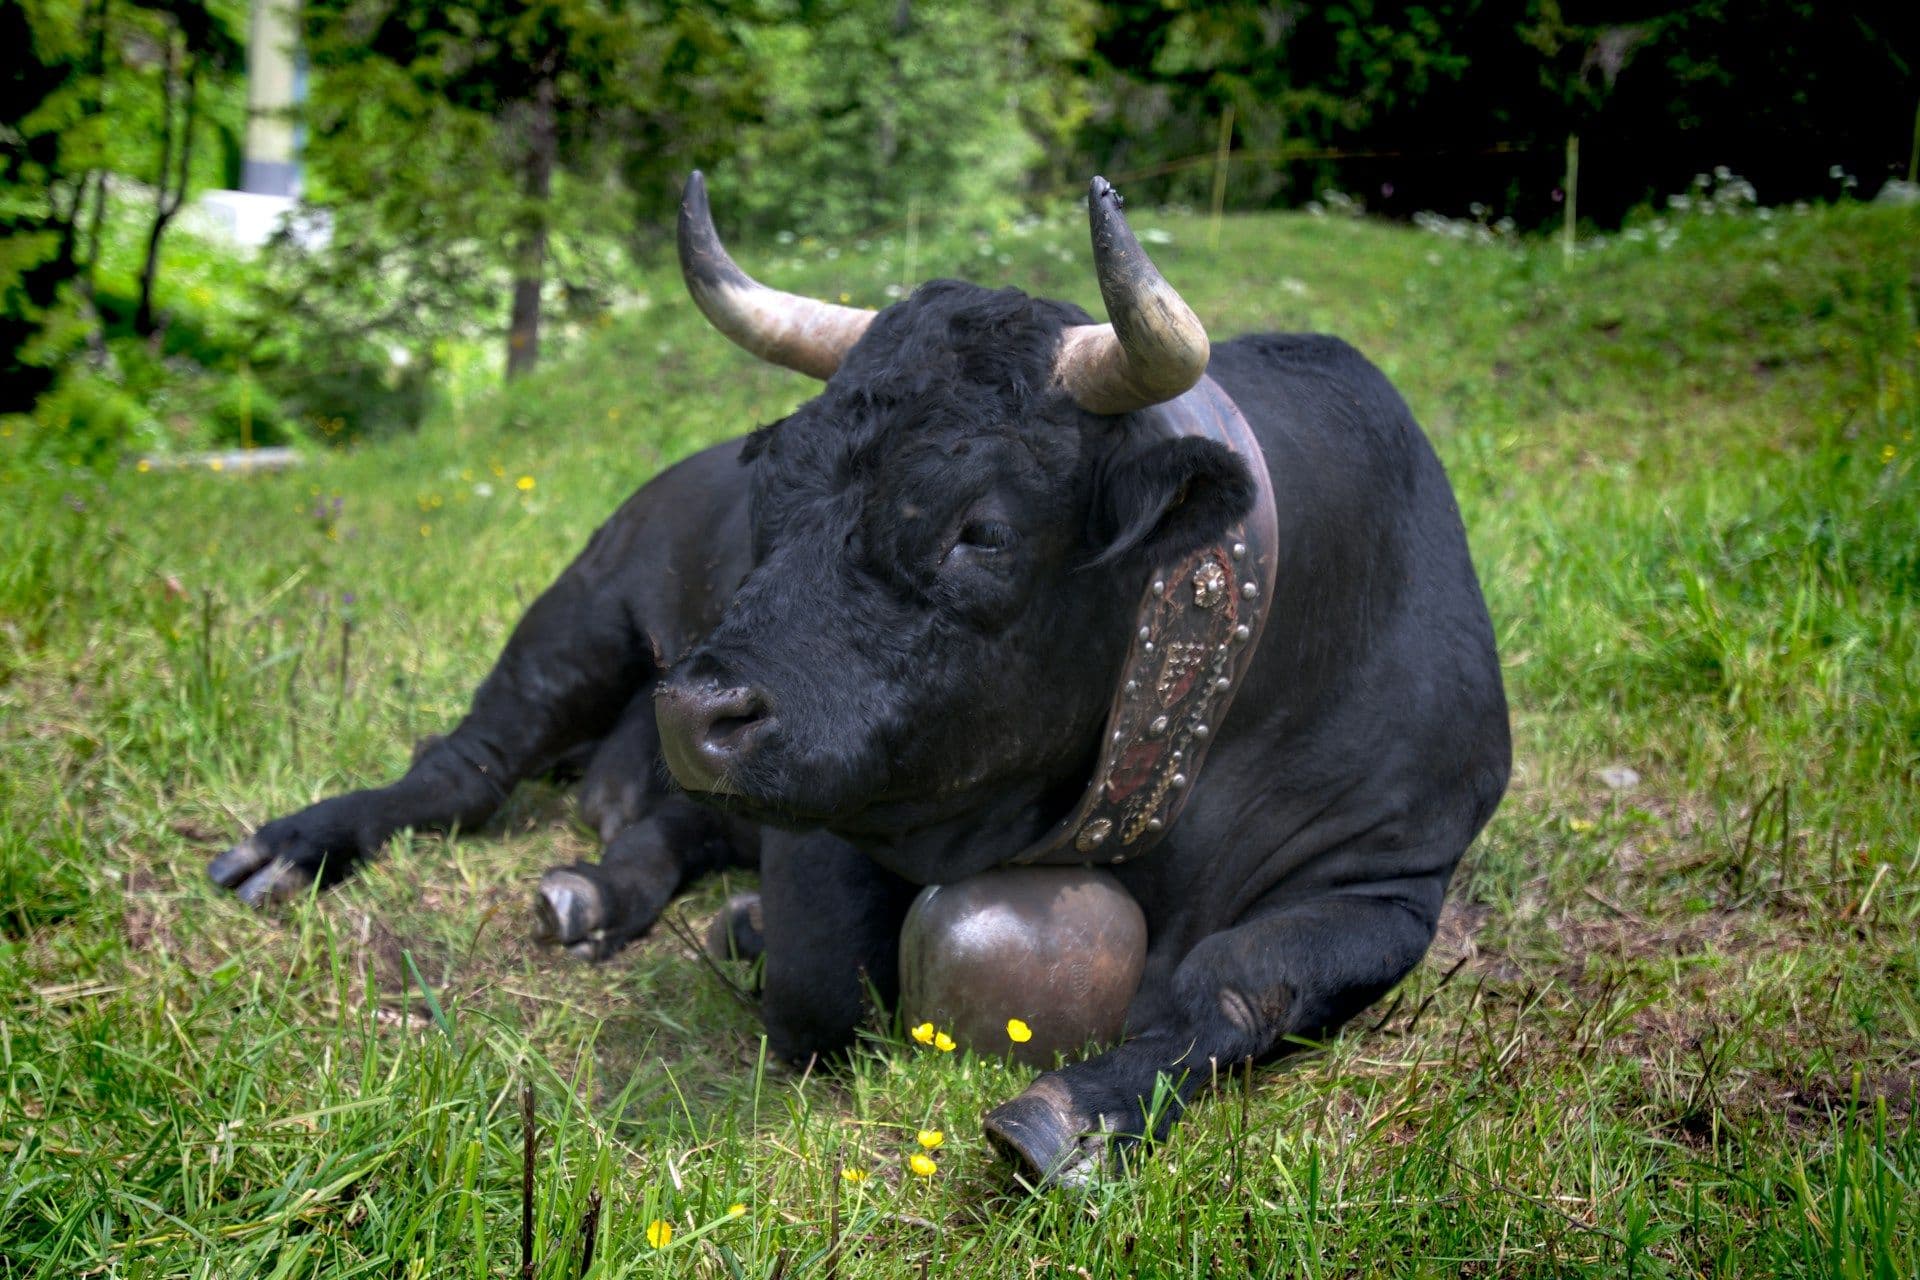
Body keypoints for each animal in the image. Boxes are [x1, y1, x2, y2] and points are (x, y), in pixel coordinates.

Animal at [208, 173, 1510, 1186]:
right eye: (779, 473)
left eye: (983, 528)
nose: (696, 709)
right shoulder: (832, 812)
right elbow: (825, 985)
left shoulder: (1390, 876)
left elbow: (1236, 983)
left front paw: (1079, 1114)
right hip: (580, 611)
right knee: (466, 766)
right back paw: (299, 845)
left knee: (656, 828)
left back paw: (610, 890)